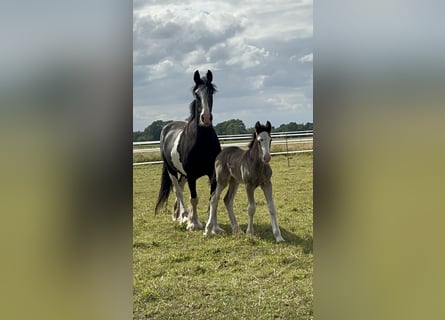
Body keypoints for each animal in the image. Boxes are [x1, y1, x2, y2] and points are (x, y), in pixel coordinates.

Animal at [153, 70, 221, 230]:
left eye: (211, 91)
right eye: (196, 94)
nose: (206, 118)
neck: (202, 142)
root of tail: (167, 128)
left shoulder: (213, 173)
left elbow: (213, 199)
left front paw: (214, 227)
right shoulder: (192, 175)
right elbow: (194, 198)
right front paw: (194, 223)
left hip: (183, 174)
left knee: (180, 187)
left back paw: (178, 215)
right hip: (172, 170)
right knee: (178, 190)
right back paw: (183, 217)